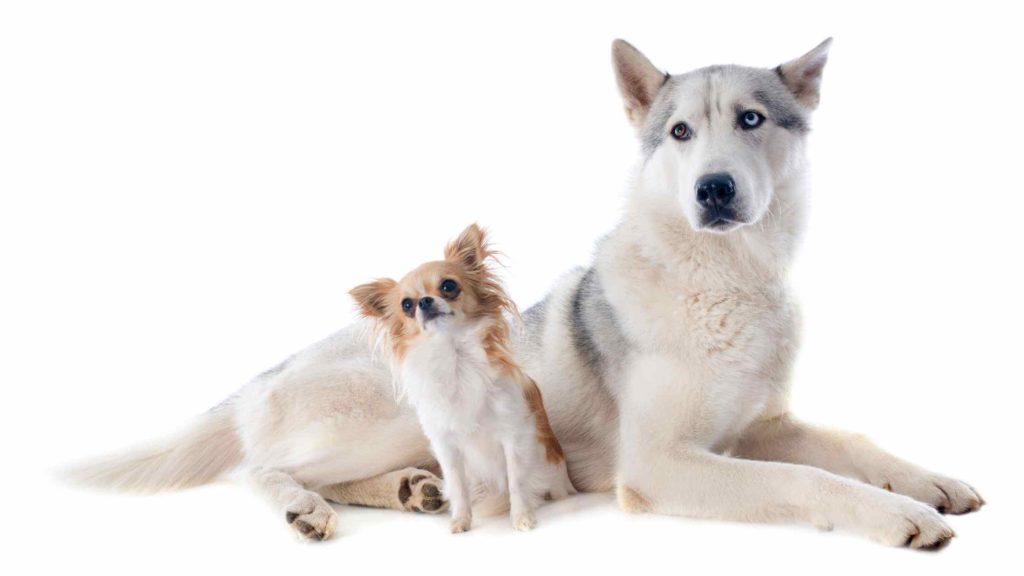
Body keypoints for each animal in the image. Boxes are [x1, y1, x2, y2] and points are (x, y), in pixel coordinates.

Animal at [352, 223, 577, 528]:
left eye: (449, 286)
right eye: (406, 305)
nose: (424, 301)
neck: (454, 360)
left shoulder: (513, 436)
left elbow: (517, 481)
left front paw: (521, 518)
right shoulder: (447, 448)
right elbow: (458, 486)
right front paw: (461, 521)